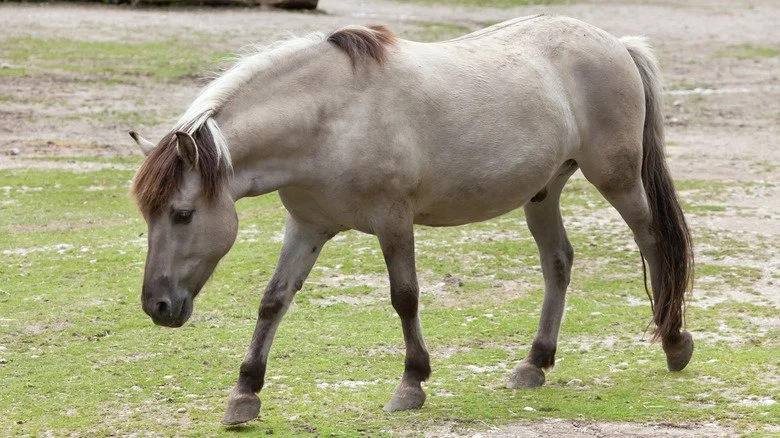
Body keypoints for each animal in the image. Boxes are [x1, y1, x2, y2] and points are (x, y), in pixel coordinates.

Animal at [129, 15, 694, 425]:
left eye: (182, 214)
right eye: (149, 216)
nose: (158, 306)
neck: (331, 117)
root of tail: (616, 44)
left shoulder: (393, 222)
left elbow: (405, 297)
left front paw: (411, 383)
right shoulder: (307, 227)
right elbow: (274, 301)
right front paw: (245, 394)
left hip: (617, 180)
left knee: (653, 243)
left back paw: (673, 342)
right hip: (543, 192)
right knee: (558, 263)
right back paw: (534, 363)